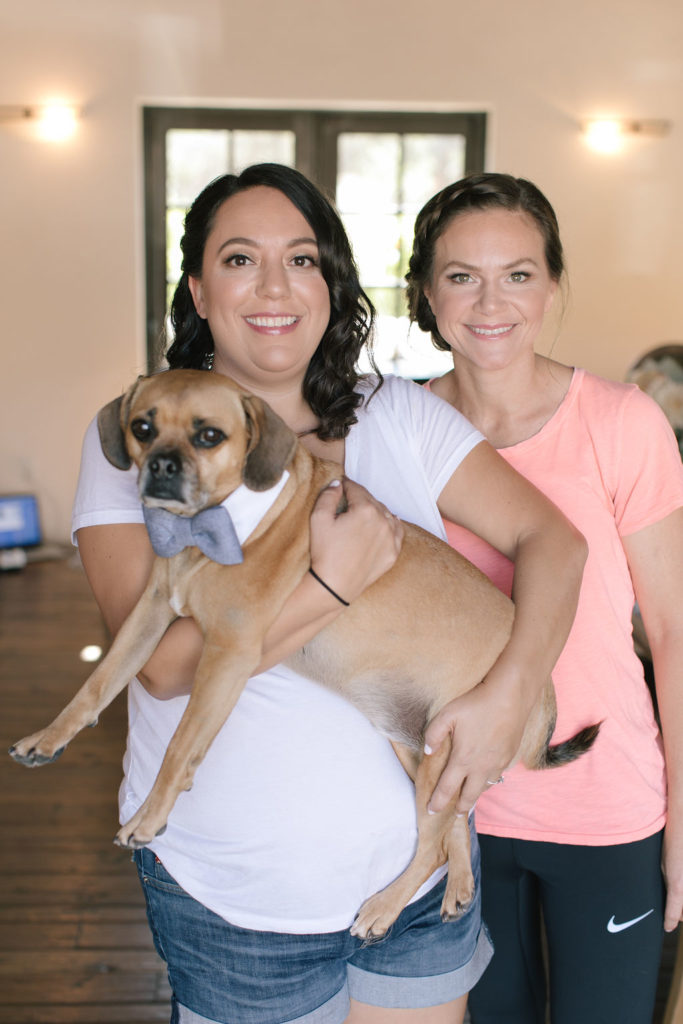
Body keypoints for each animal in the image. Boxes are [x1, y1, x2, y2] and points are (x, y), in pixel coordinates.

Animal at [9, 372, 598, 937]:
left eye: (209, 435)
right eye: (143, 427)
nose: (160, 468)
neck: (213, 526)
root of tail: (543, 690)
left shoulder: (228, 652)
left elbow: (180, 745)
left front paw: (150, 817)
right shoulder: (149, 614)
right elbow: (98, 683)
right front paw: (47, 738)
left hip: (445, 752)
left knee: (430, 841)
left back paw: (384, 909)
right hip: (419, 752)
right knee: (453, 820)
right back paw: (457, 887)